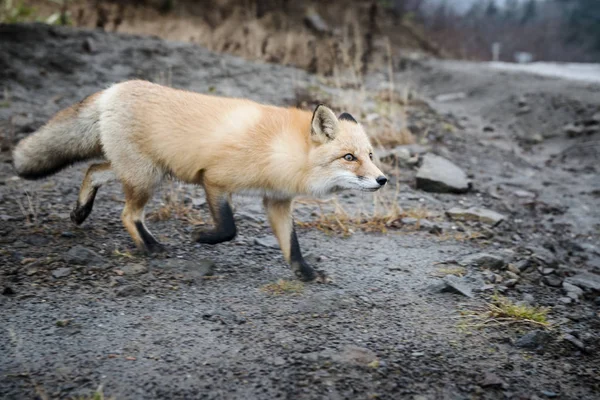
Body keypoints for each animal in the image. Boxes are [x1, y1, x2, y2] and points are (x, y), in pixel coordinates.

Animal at [14, 80, 392, 282]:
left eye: (370, 155)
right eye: (349, 157)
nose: (383, 179)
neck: (281, 149)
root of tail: (114, 89)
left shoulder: (277, 201)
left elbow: (292, 246)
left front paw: (307, 274)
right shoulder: (215, 180)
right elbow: (229, 228)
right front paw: (202, 236)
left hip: (140, 169)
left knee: (93, 169)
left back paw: (81, 212)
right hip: (146, 177)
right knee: (127, 214)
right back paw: (152, 247)